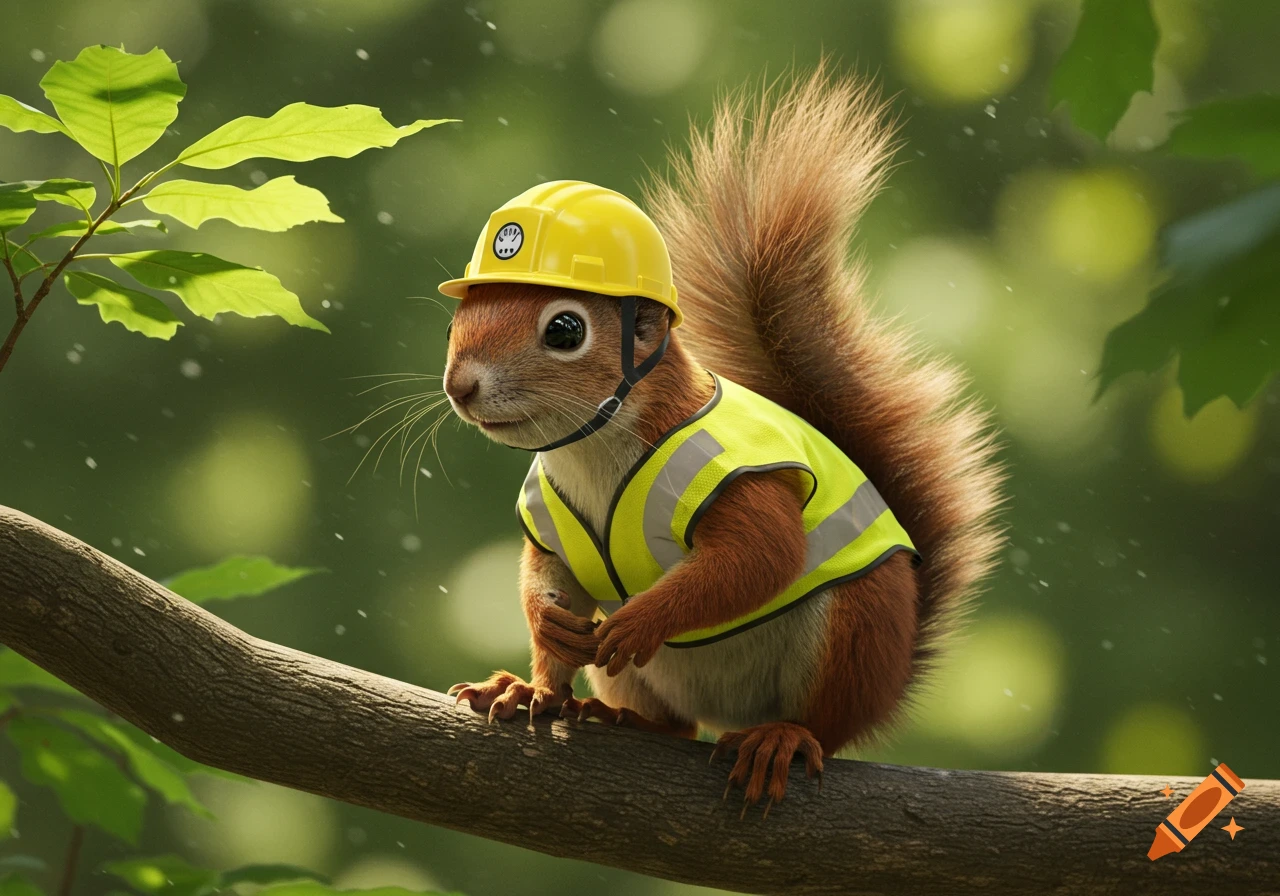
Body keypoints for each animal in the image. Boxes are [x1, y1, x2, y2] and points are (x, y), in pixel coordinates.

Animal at [441, 67, 1004, 811]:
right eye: (458, 317)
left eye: (564, 329)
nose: (460, 386)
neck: (590, 447)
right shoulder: (557, 530)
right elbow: (548, 583)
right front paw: (534, 661)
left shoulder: (740, 481)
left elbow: (756, 558)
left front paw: (639, 621)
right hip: (645, 681)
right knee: (675, 725)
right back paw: (596, 710)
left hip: (851, 634)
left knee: (823, 724)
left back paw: (782, 739)